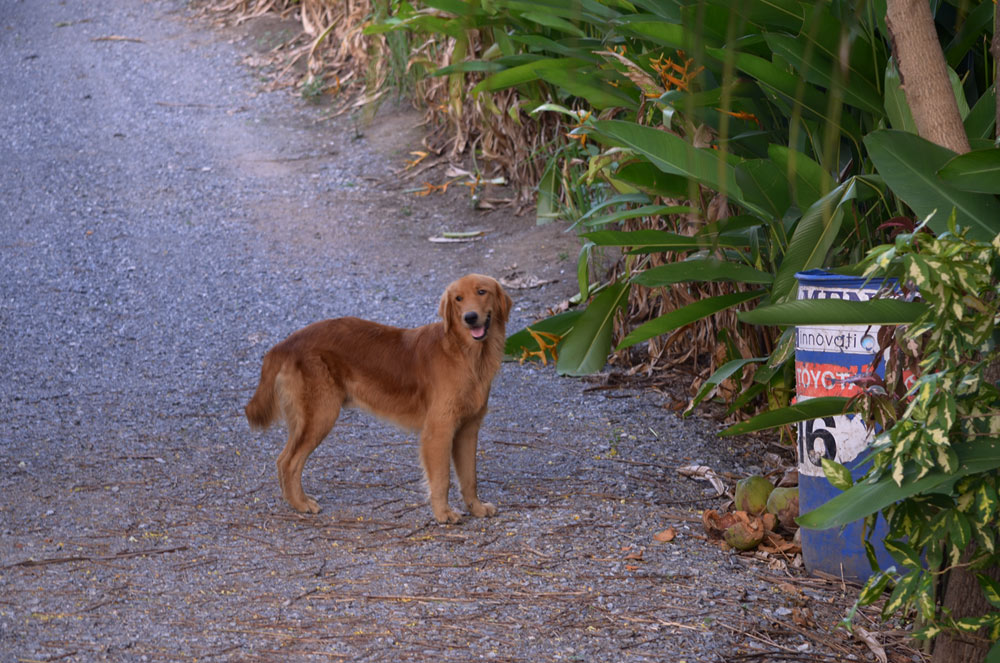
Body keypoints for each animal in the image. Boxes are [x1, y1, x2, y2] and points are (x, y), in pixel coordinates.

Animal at [246, 274, 512, 524]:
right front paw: (443, 513)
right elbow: (442, 478)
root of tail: (285, 343)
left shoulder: (468, 429)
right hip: (321, 415)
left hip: (307, 419)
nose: (470, 317)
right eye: (458, 298)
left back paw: (292, 502)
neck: (466, 355)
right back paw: (301, 504)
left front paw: (476, 508)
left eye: (482, 292)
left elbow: (469, 478)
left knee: (282, 460)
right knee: (289, 462)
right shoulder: (439, 430)